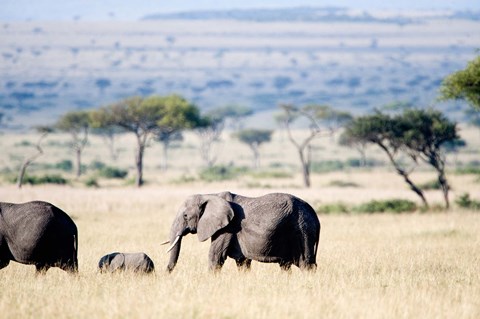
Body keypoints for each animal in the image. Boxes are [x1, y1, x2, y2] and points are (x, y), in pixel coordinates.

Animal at [166, 192, 322, 272]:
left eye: (185, 216)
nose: (167, 273)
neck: (209, 195)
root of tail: (315, 216)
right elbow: (242, 262)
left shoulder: (227, 228)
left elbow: (215, 256)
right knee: (285, 265)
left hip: (303, 230)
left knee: (306, 264)